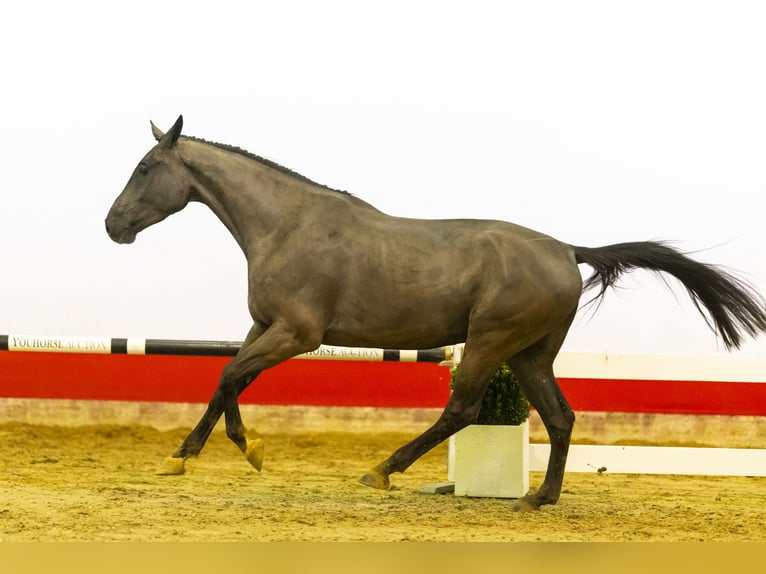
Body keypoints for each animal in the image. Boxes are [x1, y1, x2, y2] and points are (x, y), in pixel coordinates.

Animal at [103, 115, 766, 510]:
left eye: (145, 167)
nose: (112, 226)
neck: (287, 225)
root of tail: (567, 250)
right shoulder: (264, 326)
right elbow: (232, 379)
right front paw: (240, 449)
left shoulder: (296, 332)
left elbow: (230, 374)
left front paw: (187, 456)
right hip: (530, 353)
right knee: (560, 416)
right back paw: (538, 499)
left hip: (491, 342)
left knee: (464, 409)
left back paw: (382, 470)